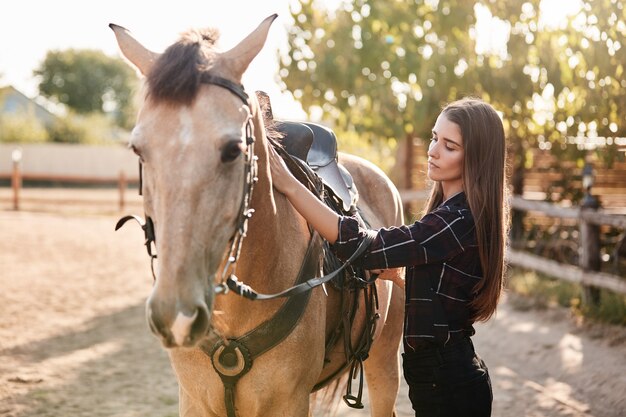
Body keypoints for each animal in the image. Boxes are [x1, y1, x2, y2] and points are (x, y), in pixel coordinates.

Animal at [111, 13, 404, 416]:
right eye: (138, 149)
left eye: (233, 150)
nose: (177, 315)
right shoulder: (194, 400)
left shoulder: (289, 402)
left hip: (384, 363)